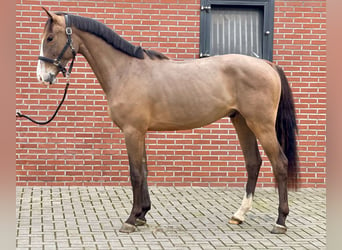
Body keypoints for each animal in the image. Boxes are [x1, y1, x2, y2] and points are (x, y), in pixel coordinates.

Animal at [35, 8, 296, 234]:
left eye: (50, 38)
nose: (43, 76)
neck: (125, 71)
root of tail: (267, 64)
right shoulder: (140, 132)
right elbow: (144, 170)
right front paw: (142, 215)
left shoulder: (132, 131)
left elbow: (135, 174)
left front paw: (131, 219)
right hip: (242, 122)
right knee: (253, 163)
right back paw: (239, 215)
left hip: (261, 125)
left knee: (280, 164)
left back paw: (280, 221)